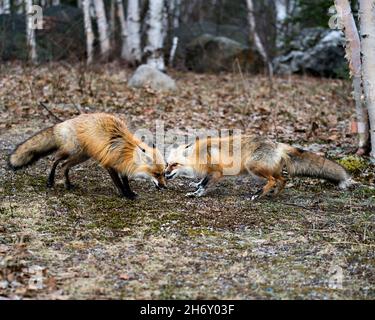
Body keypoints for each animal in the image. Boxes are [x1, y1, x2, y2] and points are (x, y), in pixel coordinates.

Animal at [8, 112, 167, 198]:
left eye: (163, 173)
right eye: (156, 174)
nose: (165, 187)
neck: (126, 151)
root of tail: (62, 123)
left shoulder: (122, 166)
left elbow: (126, 182)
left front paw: (130, 193)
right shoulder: (109, 165)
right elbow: (118, 183)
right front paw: (123, 194)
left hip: (82, 156)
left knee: (64, 166)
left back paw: (68, 185)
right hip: (72, 151)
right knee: (55, 160)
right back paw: (50, 181)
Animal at [165, 136, 352, 200]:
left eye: (175, 164)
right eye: (167, 163)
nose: (165, 174)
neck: (198, 156)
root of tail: (276, 144)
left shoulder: (217, 172)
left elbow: (204, 185)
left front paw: (196, 194)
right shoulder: (211, 173)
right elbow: (202, 181)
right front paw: (195, 186)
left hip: (253, 168)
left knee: (272, 180)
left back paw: (258, 195)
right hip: (270, 170)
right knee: (283, 180)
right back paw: (273, 195)